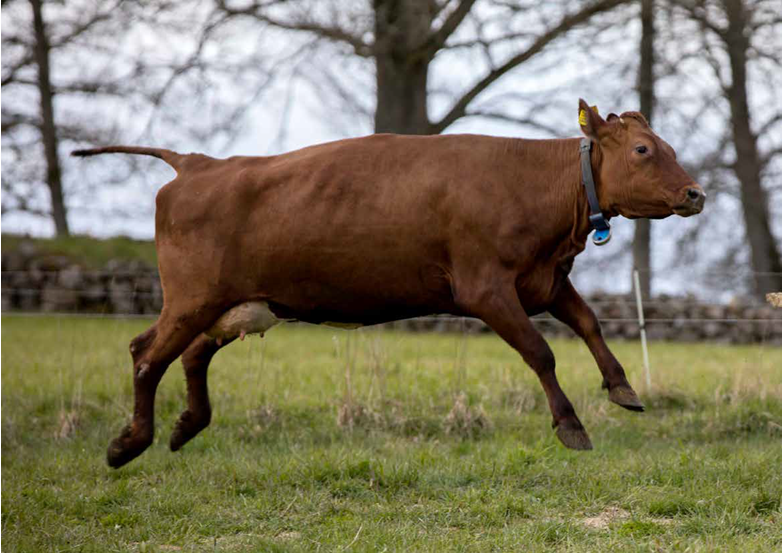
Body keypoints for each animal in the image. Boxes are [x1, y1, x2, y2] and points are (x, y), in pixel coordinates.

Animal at [73, 101, 708, 470]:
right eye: (644, 149)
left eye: (669, 147)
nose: (696, 193)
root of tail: (198, 162)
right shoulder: (485, 288)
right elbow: (541, 352)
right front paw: (571, 426)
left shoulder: (545, 281)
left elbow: (590, 323)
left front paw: (622, 388)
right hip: (192, 296)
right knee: (146, 353)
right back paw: (129, 442)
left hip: (241, 304)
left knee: (192, 354)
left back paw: (185, 427)